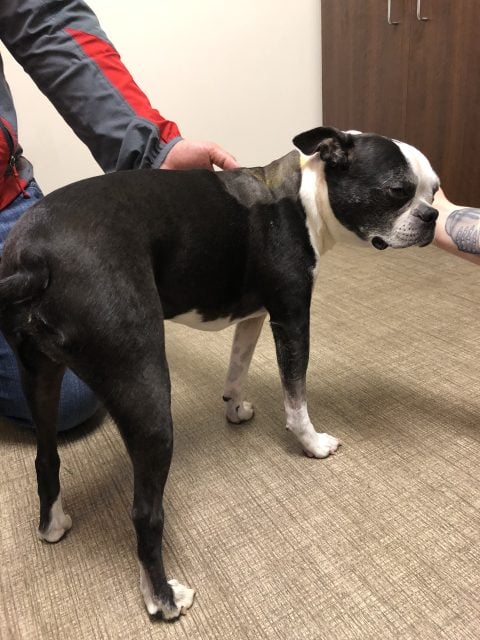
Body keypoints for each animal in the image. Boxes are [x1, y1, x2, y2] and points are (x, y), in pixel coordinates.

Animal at [0, 126, 438, 620]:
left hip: (39, 375)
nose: (432, 215)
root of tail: (34, 261)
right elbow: (296, 395)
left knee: (46, 457)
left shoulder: (254, 316)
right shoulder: (292, 318)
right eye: (398, 192)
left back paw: (53, 524)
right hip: (145, 388)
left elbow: (238, 366)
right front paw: (312, 444)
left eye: (434, 191)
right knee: (145, 512)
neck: (306, 195)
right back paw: (163, 597)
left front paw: (234, 408)